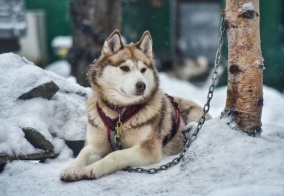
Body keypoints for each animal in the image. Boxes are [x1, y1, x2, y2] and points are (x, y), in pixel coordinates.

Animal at [60, 29, 211, 181]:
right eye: (124, 68)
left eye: (143, 70)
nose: (142, 85)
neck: (119, 113)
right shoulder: (95, 144)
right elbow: (82, 154)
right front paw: (71, 169)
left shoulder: (147, 149)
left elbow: (114, 155)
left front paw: (92, 168)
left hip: (194, 116)